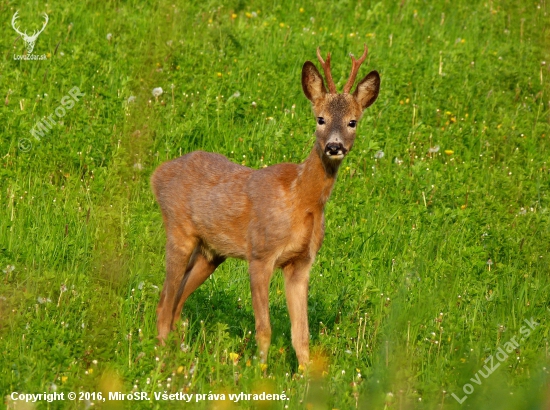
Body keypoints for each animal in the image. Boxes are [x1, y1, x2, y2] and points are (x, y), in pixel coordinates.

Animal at [153, 44, 382, 366]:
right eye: (320, 119)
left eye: (353, 121)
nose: (334, 146)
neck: (301, 200)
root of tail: (157, 173)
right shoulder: (260, 254)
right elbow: (264, 329)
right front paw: (258, 371)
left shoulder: (301, 262)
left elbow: (302, 336)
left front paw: (306, 375)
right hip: (179, 231)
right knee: (165, 303)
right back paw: (162, 360)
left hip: (211, 252)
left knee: (174, 302)